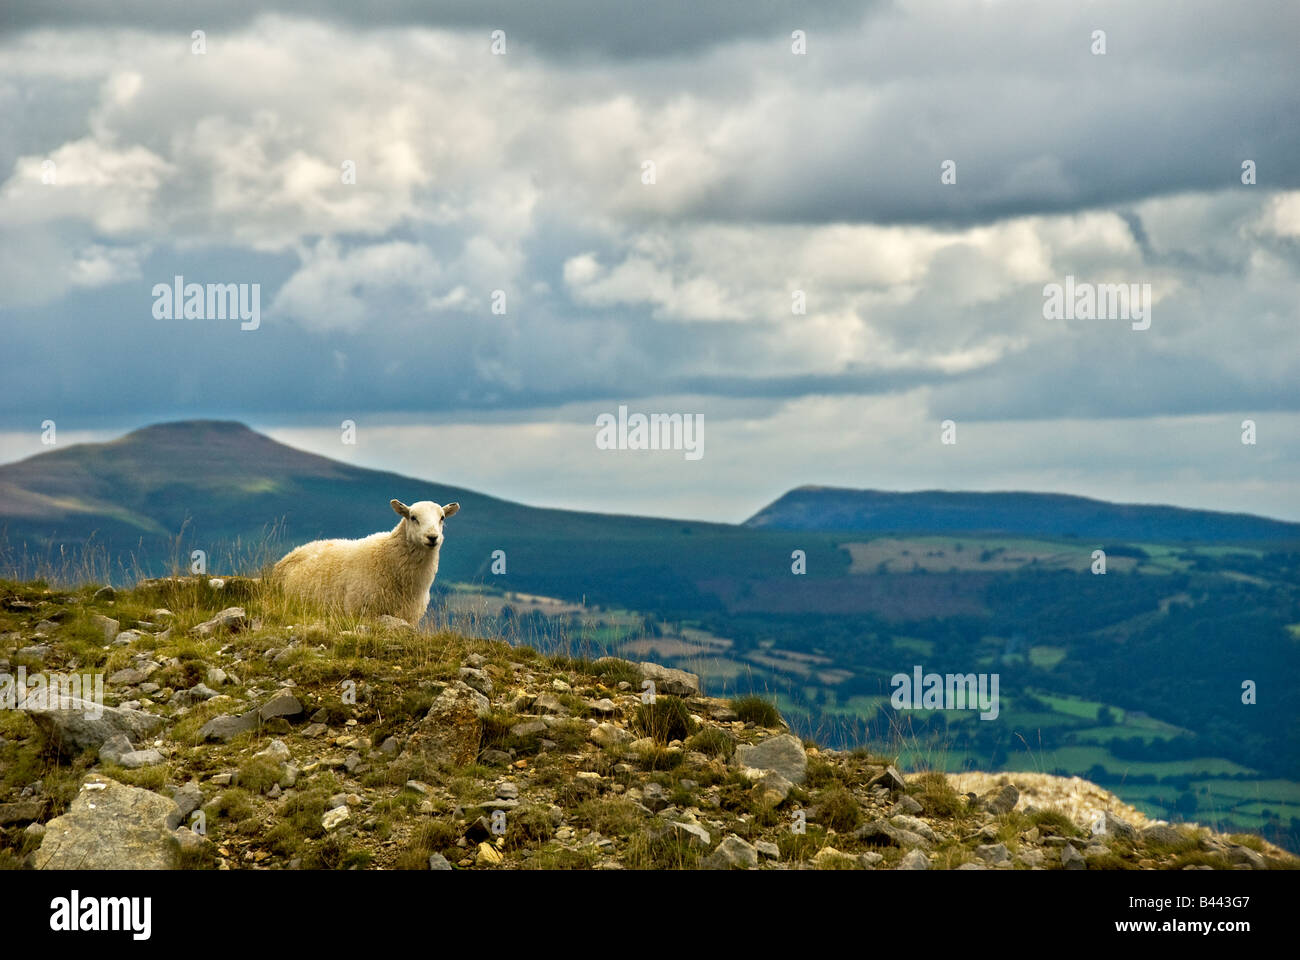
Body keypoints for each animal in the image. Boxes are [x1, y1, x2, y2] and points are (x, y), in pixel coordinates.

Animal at [269, 496, 462, 624]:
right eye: (413, 517)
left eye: (442, 518)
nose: (432, 537)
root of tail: (295, 551)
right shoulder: (360, 611)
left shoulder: (408, 617)